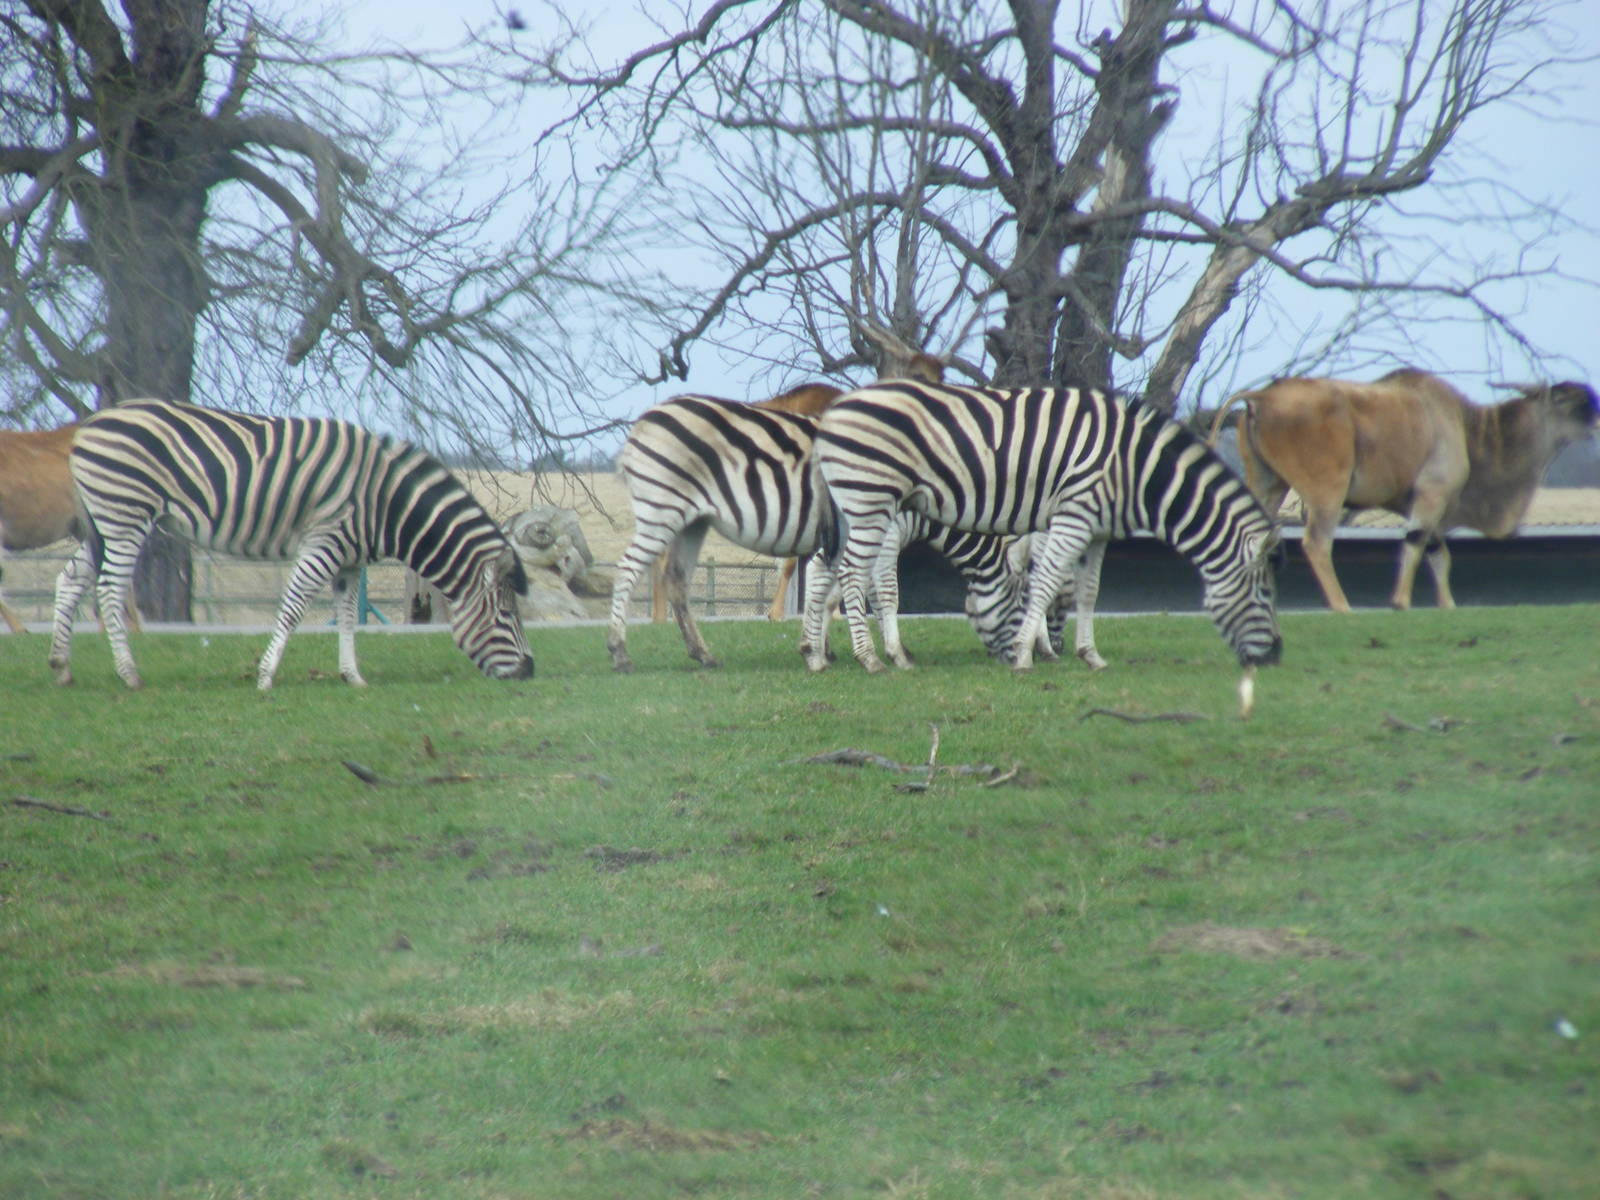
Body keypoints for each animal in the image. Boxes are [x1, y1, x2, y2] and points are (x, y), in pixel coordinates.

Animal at [48, 399, 535, 690]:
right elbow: (294, 607)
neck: (386, 502)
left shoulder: (349, 562)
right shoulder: (325, 543)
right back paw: (129, 674)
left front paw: (352, 676)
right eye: (506, 616)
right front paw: (266, 676)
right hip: (126, 517)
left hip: (102, 522)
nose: (531, 671)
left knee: (70, 580)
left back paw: (61, 666)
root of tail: (90, 424)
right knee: (109, 589)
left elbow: (346, 617)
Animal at [606, 393, 1039, 672]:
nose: (1041, 655)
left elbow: (827, 590)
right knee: (626, 569)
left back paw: (703, 654)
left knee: (676, 580)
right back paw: (620, 652)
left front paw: (817, 648)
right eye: (1020, 602)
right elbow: (882, 594)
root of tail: (645, 418)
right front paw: (895, 654)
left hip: (692, 520)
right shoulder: (885, 533)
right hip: (662, 509)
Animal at [810, 381, 1283, 674]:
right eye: (1265, 594)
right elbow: (1045, 580)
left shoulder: (1096, 529)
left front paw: (1090, 655)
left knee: (828, 571)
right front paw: (1024, 656)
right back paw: (868, 658)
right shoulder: (1072, 515)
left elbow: (1089, 591)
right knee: (850, 573)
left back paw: (819, 653)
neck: (1134, 468)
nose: (1276, 656)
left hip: (851, 510)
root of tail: (834, 409)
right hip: (870, 502)